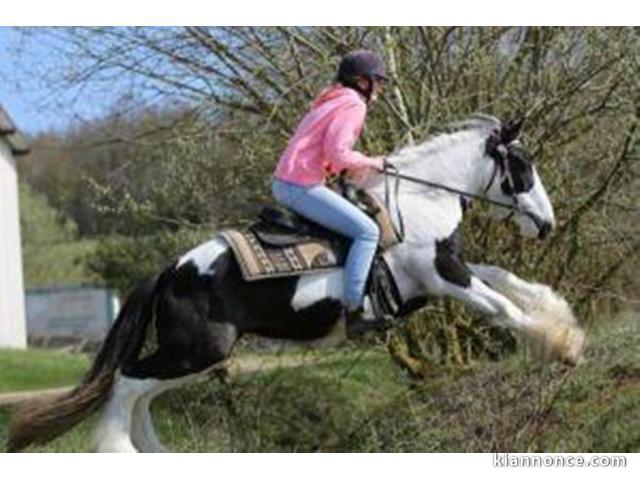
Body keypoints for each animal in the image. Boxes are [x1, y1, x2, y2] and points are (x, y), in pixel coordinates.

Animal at [6, 114, 584, 452]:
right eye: (522, 165)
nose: (546, 223)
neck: (419, 201)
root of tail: (171, 270)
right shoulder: (442, 274)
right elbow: (502, 308)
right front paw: (563, 346)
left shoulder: (444, 272)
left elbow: (505, 279)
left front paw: (561, 321)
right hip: (196, 350)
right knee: (127, 384)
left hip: (197, 357)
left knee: (139, 392)